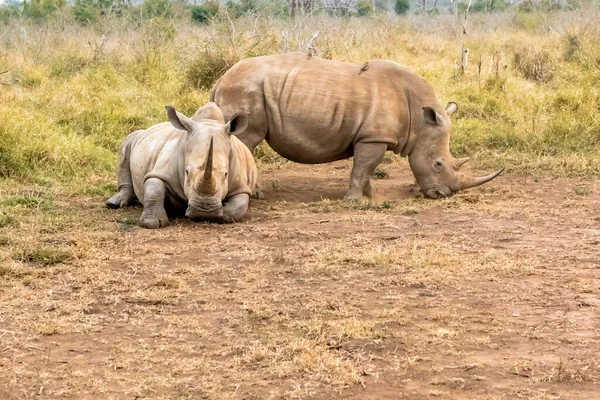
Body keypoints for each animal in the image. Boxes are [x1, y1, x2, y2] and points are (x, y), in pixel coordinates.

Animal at [105, 102, 255, 228]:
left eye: (225, 174)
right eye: (186, 172)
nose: (204, 210)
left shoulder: (241, 186)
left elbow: (239, 206)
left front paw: (220, 215)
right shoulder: (161, 171)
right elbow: (154, 188)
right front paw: (151, 223)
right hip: (138, 136)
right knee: (128, 142)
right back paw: (113, 204)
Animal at [211, 52, 502, 199]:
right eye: (438, 164)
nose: (444, 195)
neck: (420, 121)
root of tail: (221, 79)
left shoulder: (373, 137)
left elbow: (366, 169)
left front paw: (371, 196)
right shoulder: (374, 137)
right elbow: (362, 168)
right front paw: (354, 201)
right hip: (246, 89)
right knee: (247, 140)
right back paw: (256, 195)